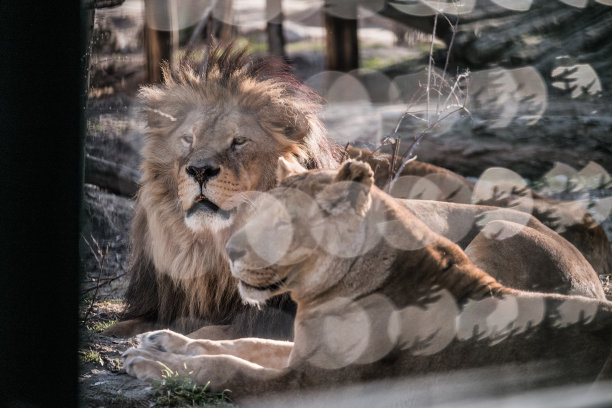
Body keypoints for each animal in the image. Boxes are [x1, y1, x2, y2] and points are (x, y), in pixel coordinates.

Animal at [124, 159, 612, 402]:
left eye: (281, 223)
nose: (230, 253)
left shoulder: (313, 386)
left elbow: (227, 367)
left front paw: (151, 365)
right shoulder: (303, 351)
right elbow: (243, 344)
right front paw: (160, 342)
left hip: (496, 232)